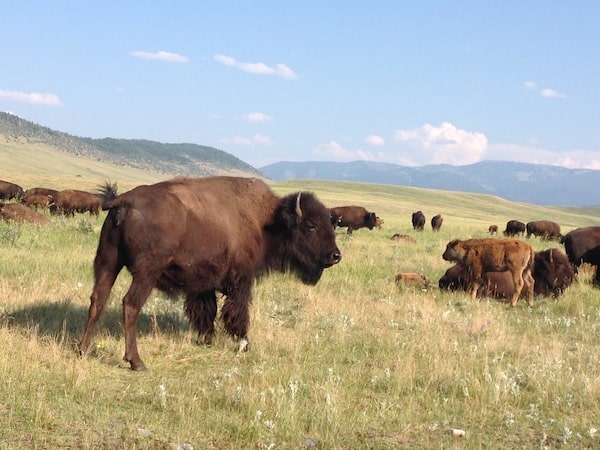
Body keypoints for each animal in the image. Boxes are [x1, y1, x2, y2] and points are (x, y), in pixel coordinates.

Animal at [78, 178, 342, 370]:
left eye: (330, 224)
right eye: (310, 226)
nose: (335, 256)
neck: (265, 220)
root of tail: (123, 201)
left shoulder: (202, 284)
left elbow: (206, 311)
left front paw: (207, 339)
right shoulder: (241, 280)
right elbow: (237, 312)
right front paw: (244, 343)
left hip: (107, 262)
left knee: (97, 300)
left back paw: (82, 349)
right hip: (146, 273)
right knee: (130, 304)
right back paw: (136, 362)